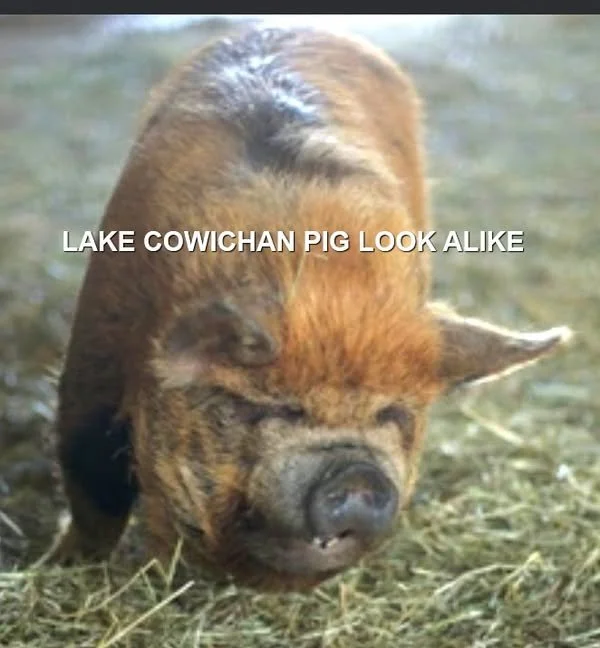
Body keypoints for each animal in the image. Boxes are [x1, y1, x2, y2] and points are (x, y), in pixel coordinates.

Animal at [45, 25, 571, 591]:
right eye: (275, 407)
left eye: (393, 412)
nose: (358, 474)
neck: (329, 282)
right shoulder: (97, 340)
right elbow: (90, 468)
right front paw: (63, 565)